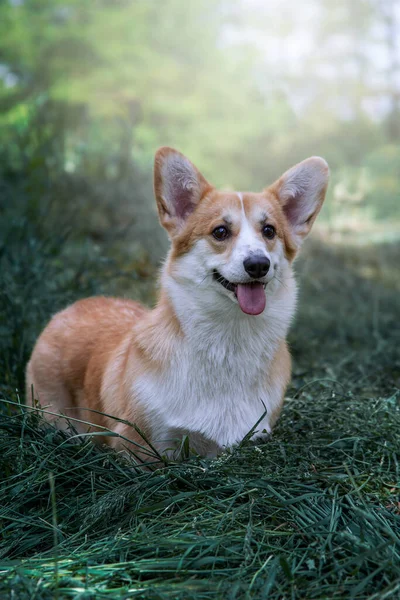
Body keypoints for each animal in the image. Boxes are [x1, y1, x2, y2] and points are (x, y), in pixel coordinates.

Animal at [26, 148, 330, 458]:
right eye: (220, 232)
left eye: (269, 231)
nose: (258, 264)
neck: (230, 337)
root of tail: (71, 308)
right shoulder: (141, 444)